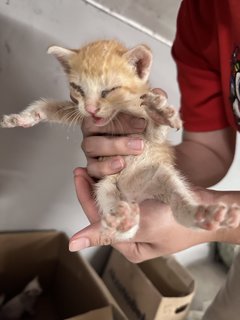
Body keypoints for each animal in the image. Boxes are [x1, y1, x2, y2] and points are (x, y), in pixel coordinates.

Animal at [0, 40, 239, 240]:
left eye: (109, 90)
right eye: (78, 89)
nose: (91, 109)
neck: (121, 111)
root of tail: (133, 195)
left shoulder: (149, 134)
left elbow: (156, 132)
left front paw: (159, 114)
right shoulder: (79, 112)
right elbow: (51, 106)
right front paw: (22, 117)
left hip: (159, 176)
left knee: (178, 205)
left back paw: (202, 214)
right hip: (106, 187)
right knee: (122, 222)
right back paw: (125, 222)